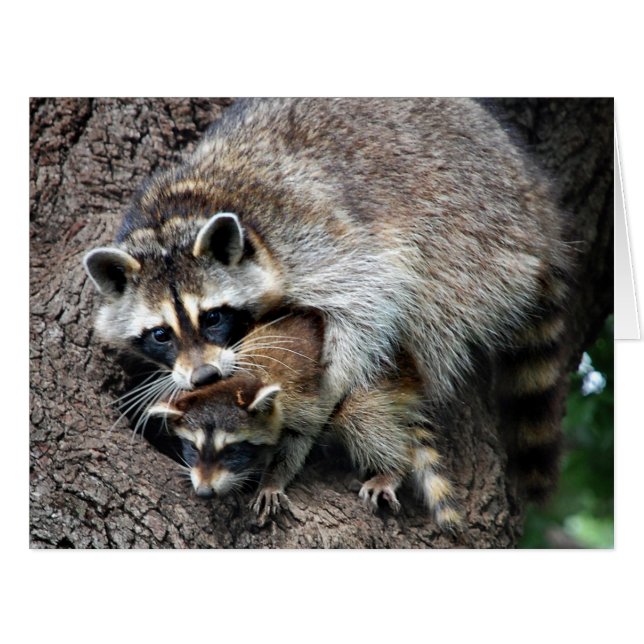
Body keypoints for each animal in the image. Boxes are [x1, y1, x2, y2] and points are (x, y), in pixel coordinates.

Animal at [84, 98, 571, 501]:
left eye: (213, 317)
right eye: (160, 334)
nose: (204, 376)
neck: (175, 217)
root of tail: (540, 206)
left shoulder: (313, 236)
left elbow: (371, 298)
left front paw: (326, 390)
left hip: (478, 233)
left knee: (434, 305)